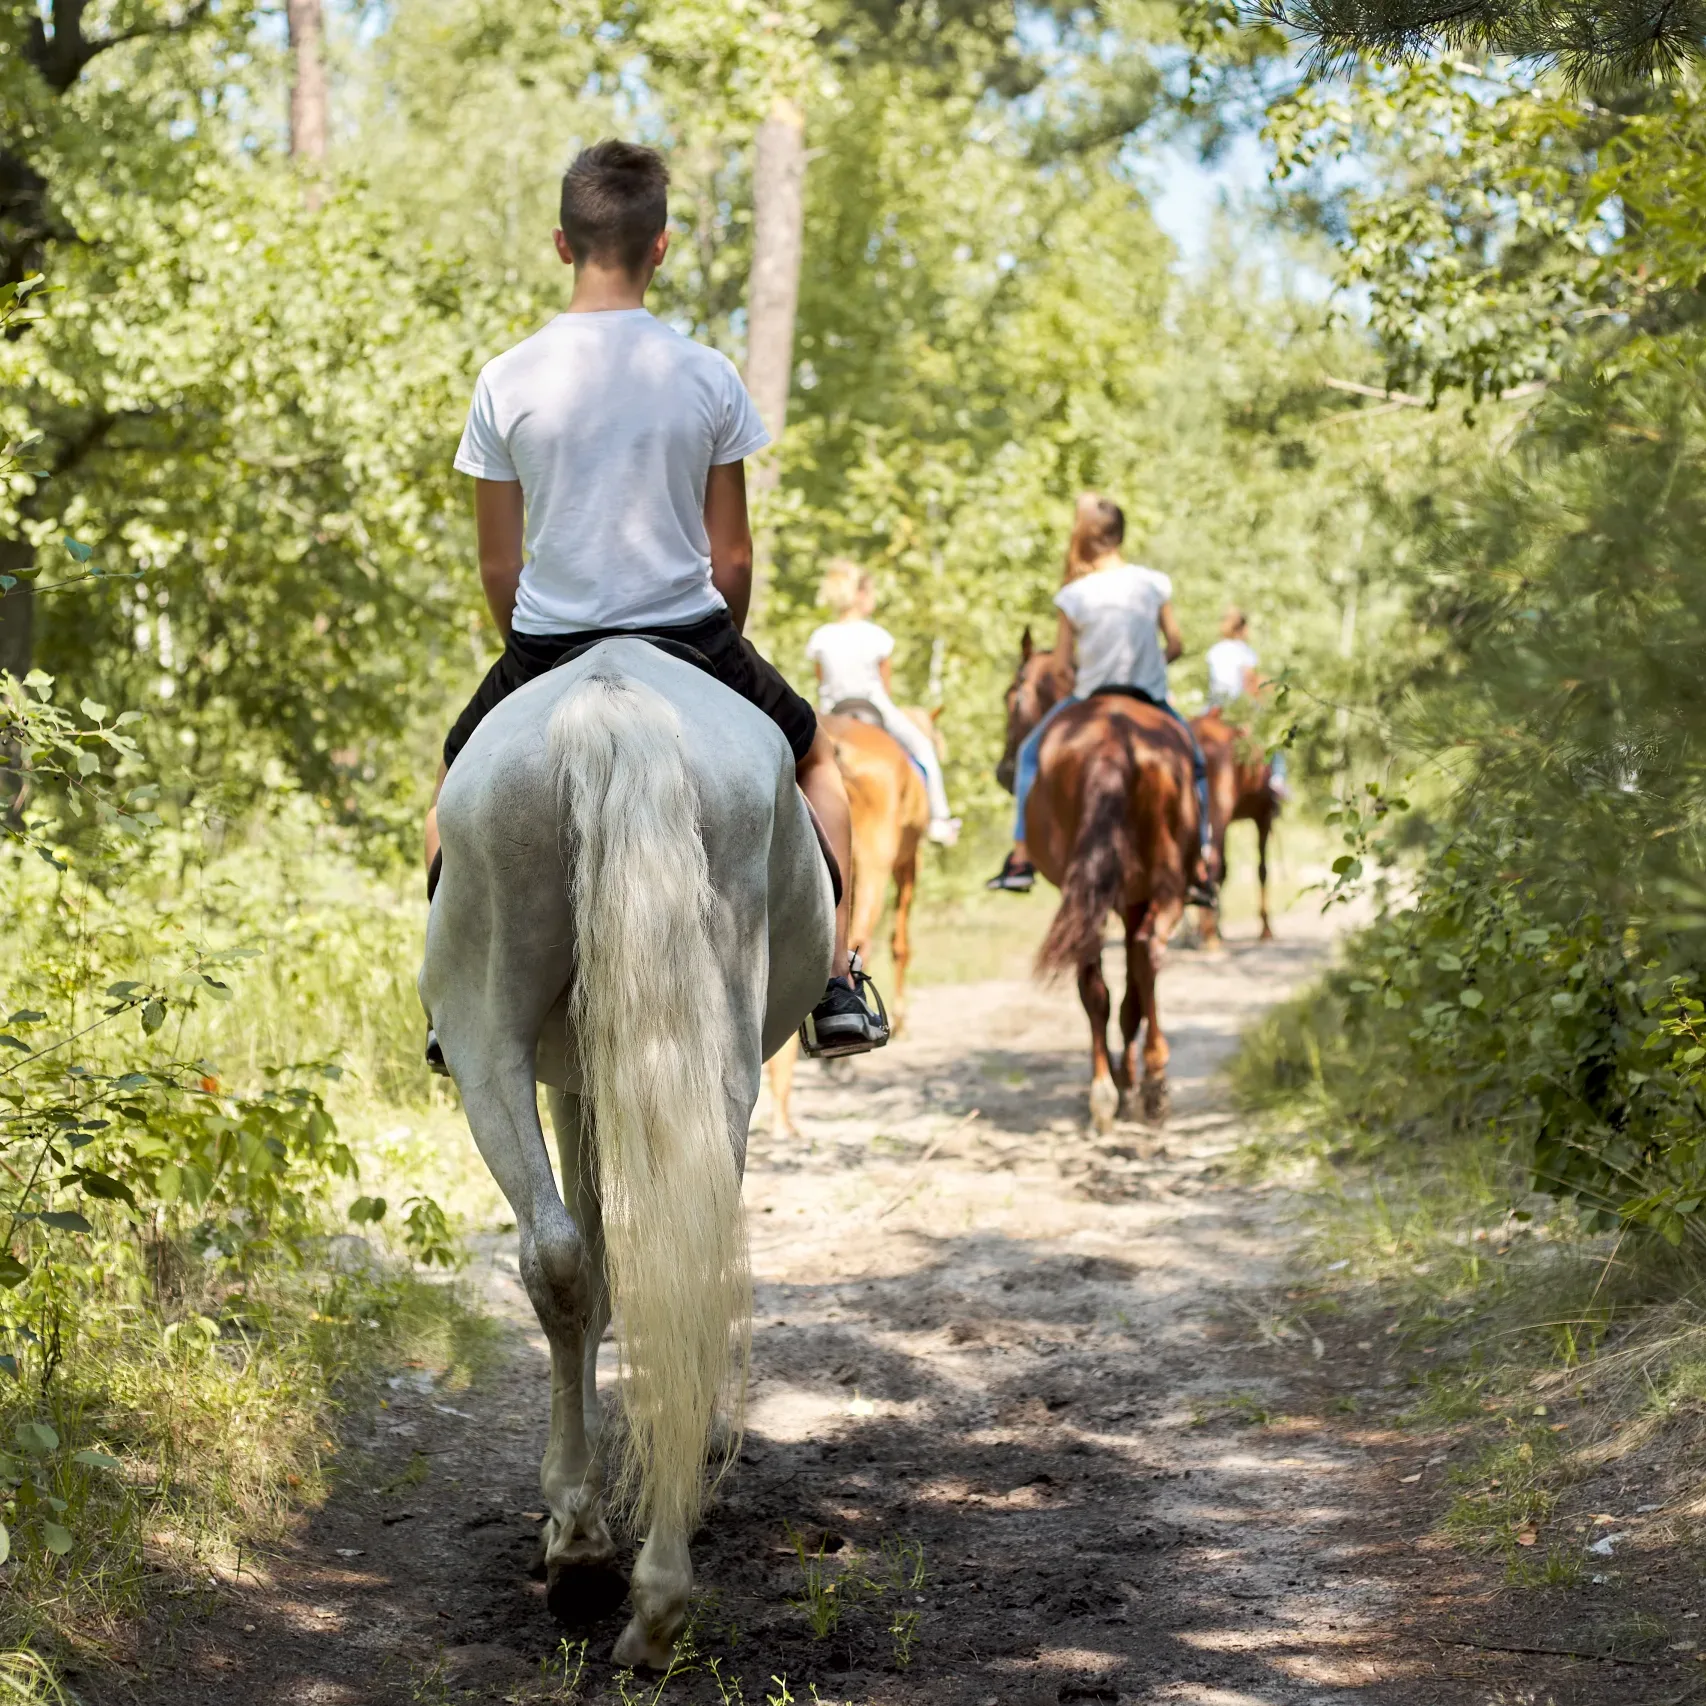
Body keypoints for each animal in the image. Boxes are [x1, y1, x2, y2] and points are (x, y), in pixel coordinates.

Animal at [419, 641, 832, 1665]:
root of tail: (610, 696)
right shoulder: (585, 1083)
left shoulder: (575, 1078)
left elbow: (589, 1272)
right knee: (667, 1264)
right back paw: (646, 1588)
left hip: (486, 1042)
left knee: (560, 1258)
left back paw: (593, 1555)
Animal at [996, 634, 1194, 1125]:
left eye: (1012, 698)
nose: (1005, 771)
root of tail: (1112, 740)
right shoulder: (1131, 899)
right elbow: (1133, 993)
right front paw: (1129, 1076)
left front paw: (1124, 1078)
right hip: (1156, 884)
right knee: (1144, 954)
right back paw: (1146, 1081)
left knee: (1101, 981)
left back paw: (1111, 1089)